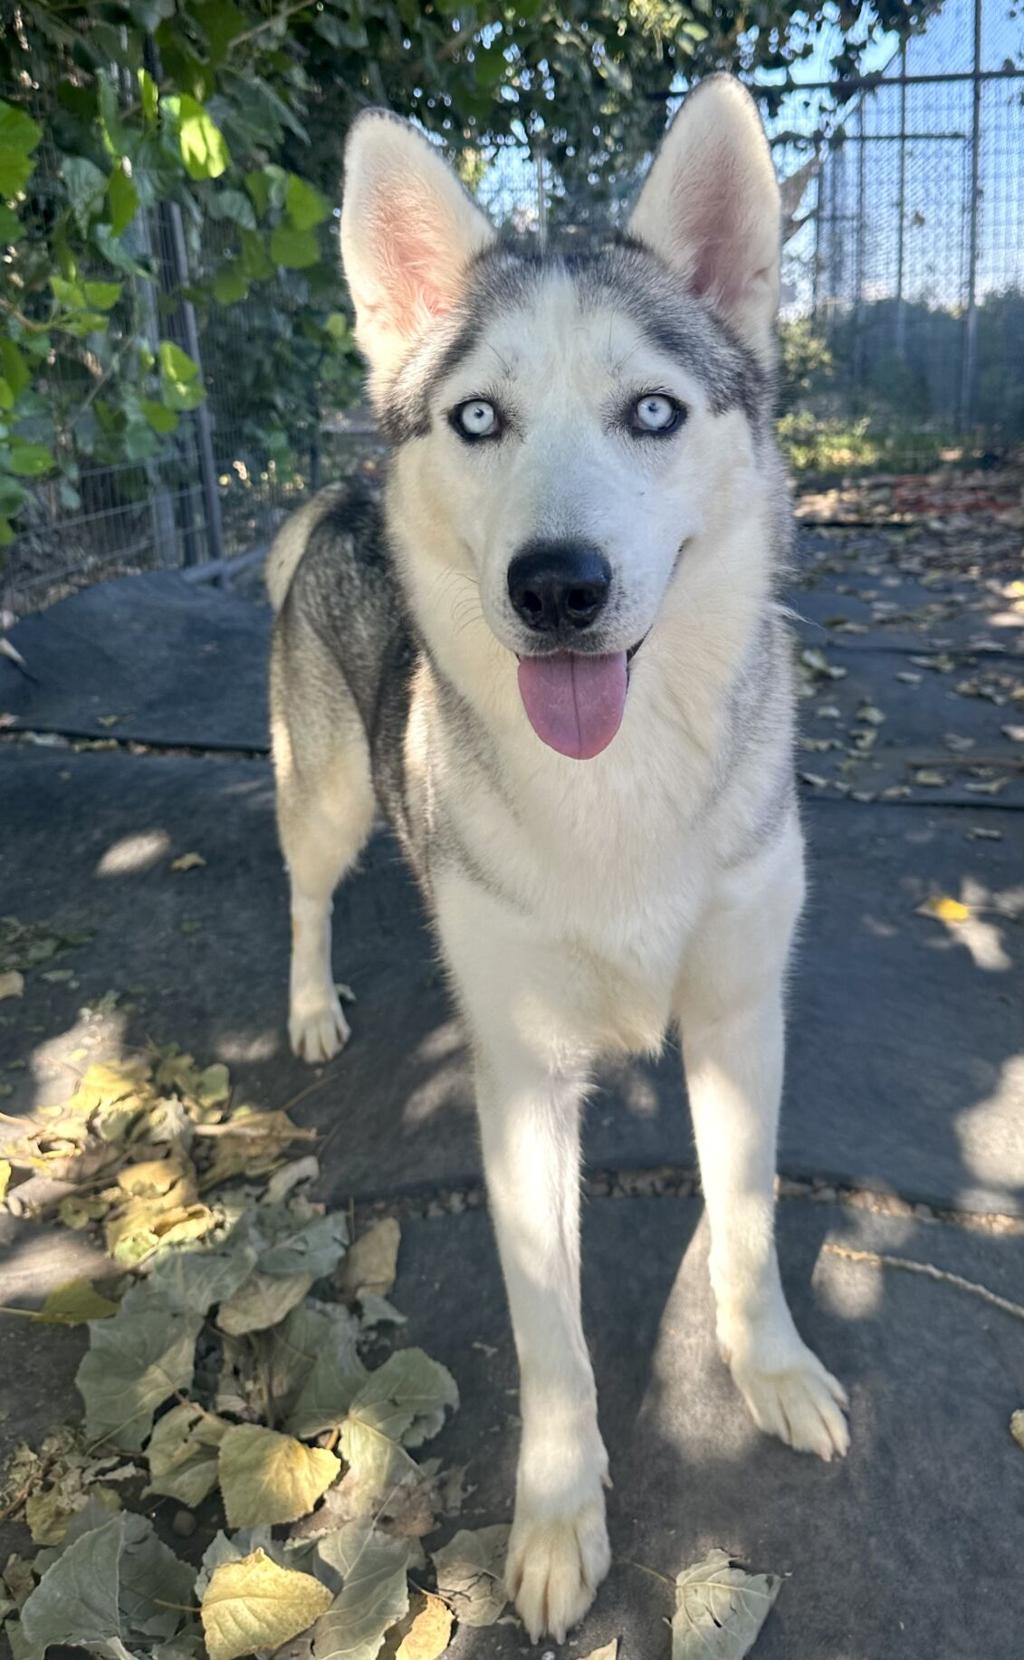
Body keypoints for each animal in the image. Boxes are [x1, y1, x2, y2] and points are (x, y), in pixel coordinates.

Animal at [265, 74, 846, 1633]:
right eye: (480, 417)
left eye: (652, 412)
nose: (558, 585)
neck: (616, 796)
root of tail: (341, 495)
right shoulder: (522, 1085)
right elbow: (550, 1332)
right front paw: (554, 1516)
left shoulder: (742, 1017)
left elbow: (748, 1218)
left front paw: (769, 1370)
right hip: (324, 799)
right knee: (308, 889)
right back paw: (311, 1002)